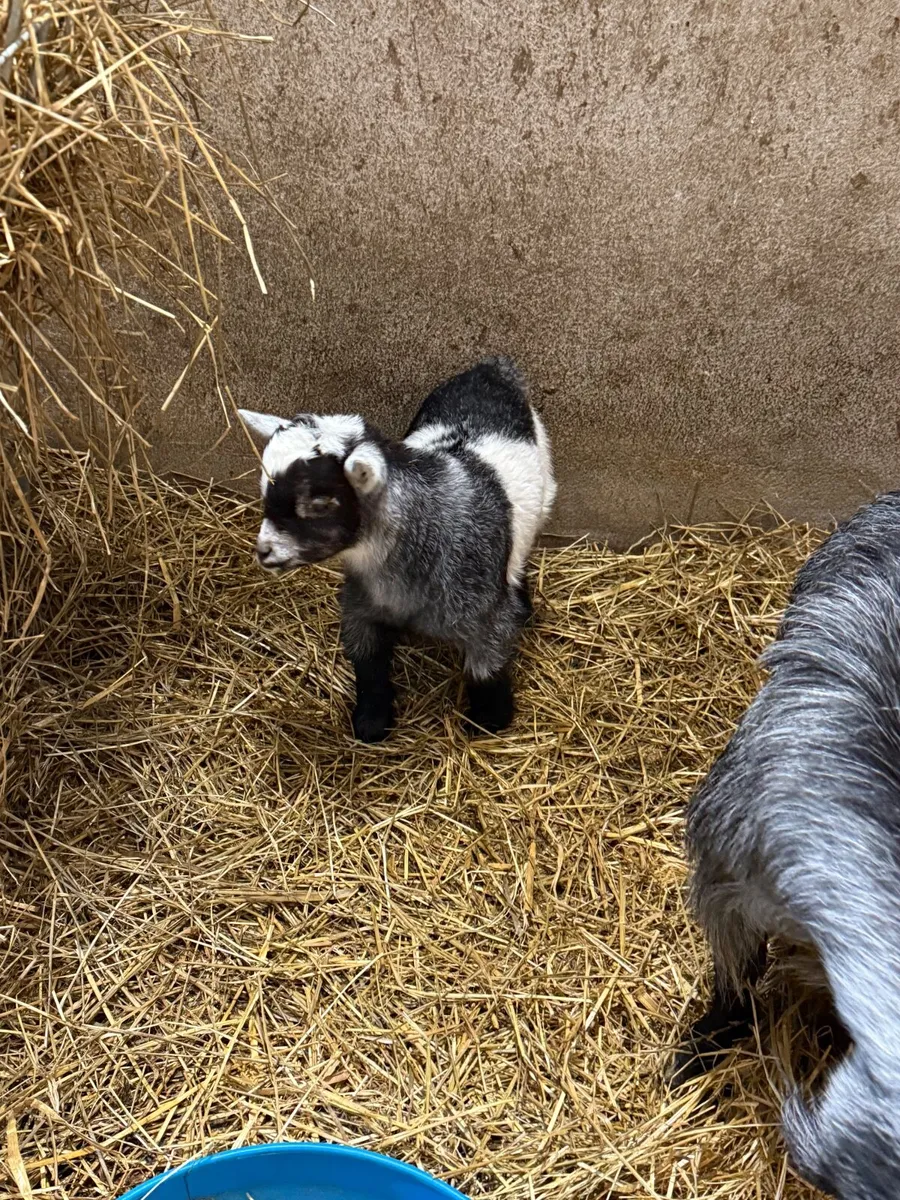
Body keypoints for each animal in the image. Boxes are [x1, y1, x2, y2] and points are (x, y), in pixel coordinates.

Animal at [239, 357, 556, 742]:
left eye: (320, 504)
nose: (264, 552)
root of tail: (492, 369)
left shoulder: (486, 617)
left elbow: (487, 669)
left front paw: (489, 720)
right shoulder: (361, 604)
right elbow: (368, 664)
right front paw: (371, 721)